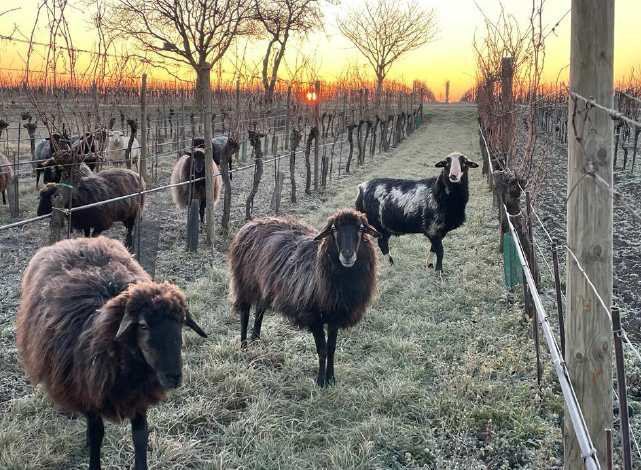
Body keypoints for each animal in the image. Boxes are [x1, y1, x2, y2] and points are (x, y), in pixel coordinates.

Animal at [17, 237, 206, 470]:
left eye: (180, 322)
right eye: (143, 326)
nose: (174, 377)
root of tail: (79, 239)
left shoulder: (139, 395)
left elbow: (140, 436)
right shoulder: (89, 391)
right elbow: (97, 434)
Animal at [229, 209, 380, 386]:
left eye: (361, 229)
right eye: (334, 229)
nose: (347, 255)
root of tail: (251, 223)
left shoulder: (335, 315)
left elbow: (331, 348)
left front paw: (331, 378)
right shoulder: (313, 315)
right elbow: (322, 350)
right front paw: (321, 382)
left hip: (264, 286)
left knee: (259, 311)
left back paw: (255, 340)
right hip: (244, 283)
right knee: (245, 314)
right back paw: (244, 346)